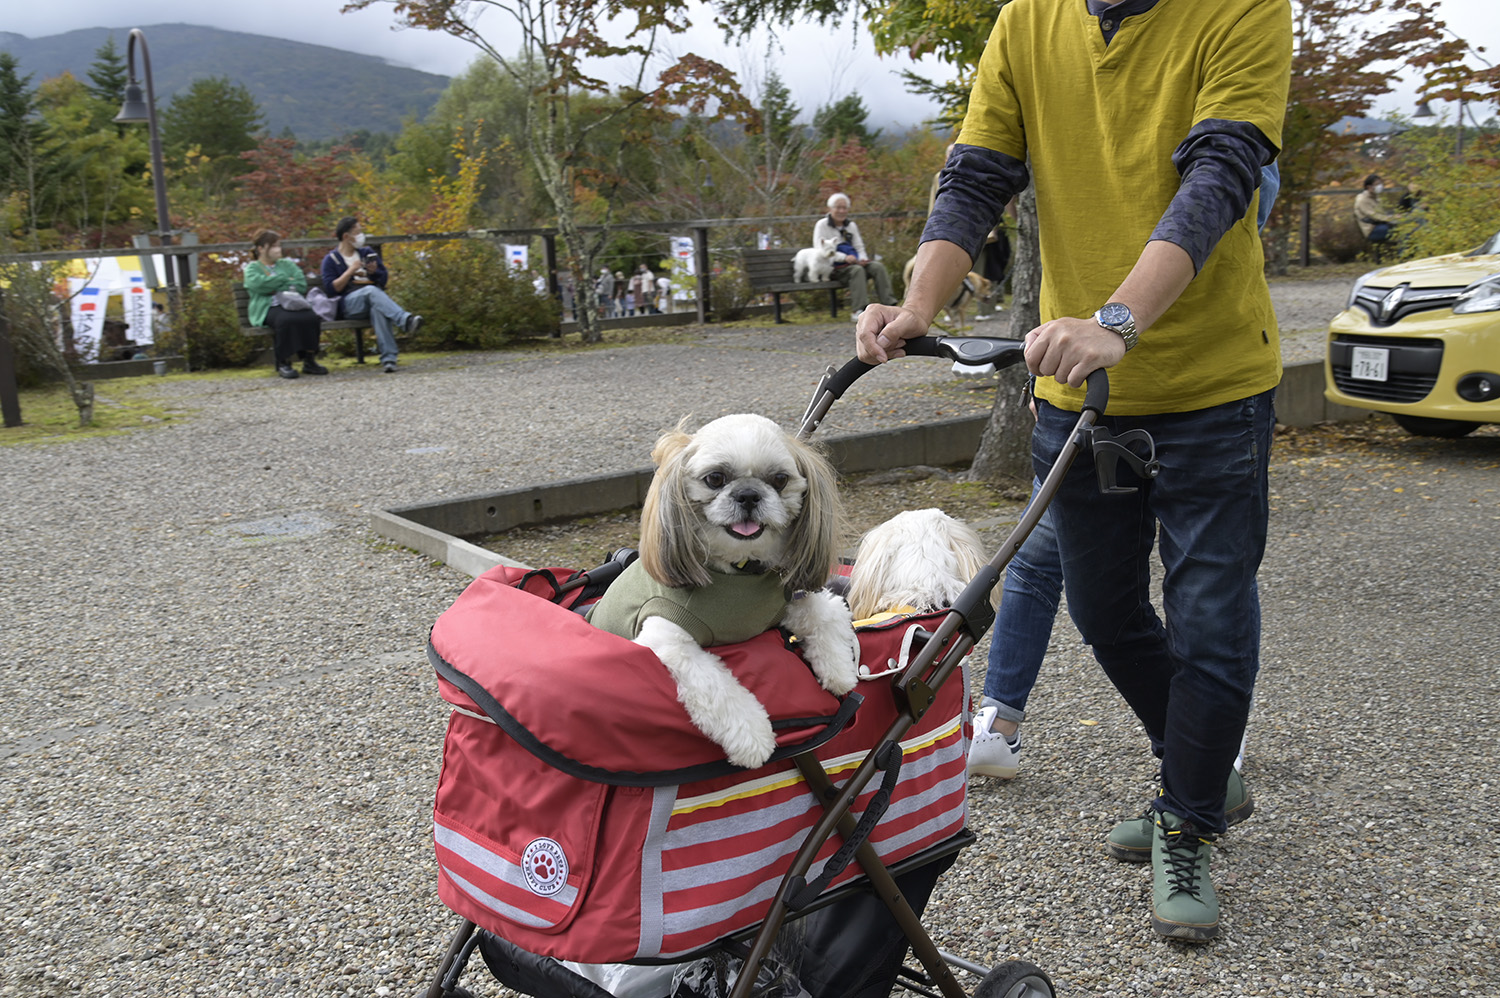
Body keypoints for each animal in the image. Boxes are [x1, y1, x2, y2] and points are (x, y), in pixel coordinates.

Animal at [591, 411, 864, 768]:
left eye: (780, 479)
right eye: (715, 478)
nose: (748, 494)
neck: (739, 571)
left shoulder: (790, 598)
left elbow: (826, 613)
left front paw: (838, 669)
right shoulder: (669, 642)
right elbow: (716, 685)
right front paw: (753, 738)